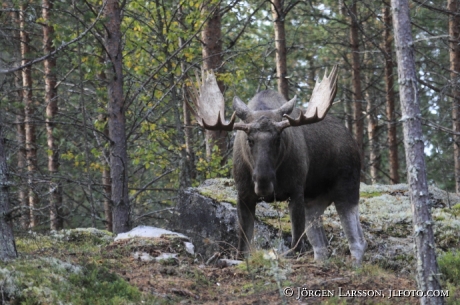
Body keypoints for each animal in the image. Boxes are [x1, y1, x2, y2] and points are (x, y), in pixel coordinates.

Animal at [189, 66, 364, 264]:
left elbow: (296, 246)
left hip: (346, 188)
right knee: (321, 246)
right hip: (315, 201)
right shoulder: (243, 195)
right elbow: (243, 247)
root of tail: (352, 140)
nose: (263, 182)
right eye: (249, 140)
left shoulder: (296, 192)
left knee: (357, 241)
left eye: (278, 139)